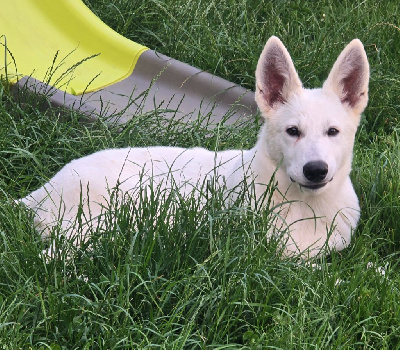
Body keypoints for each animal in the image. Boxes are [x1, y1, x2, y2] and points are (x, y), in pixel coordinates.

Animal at [20, 37, 370, 258]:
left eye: (333, 132)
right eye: (292, 131)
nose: (316, 170)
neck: (305, 206)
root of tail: (38, 193)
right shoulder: (264, 254)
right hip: (110, 213)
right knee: (50, 257)